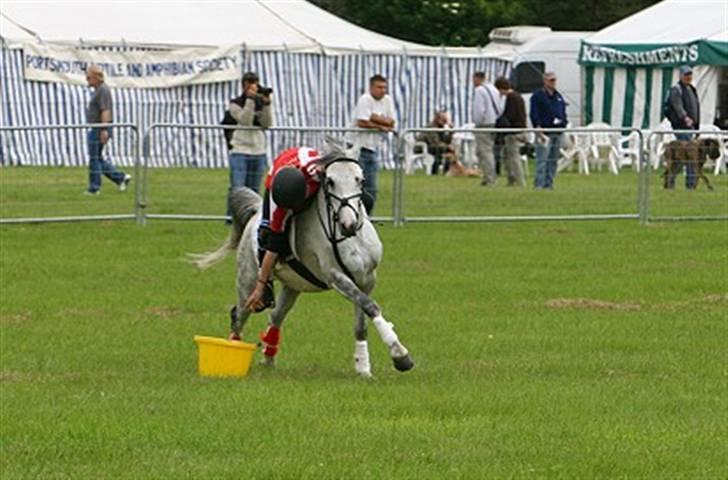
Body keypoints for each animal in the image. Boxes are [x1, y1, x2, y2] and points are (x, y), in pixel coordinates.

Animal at [191, 142, 414, 378]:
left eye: (360, 180)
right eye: (330, 182)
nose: (349, 225)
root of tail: (254, 215)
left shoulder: (367, 279)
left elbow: (361, 321)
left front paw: (363, 368)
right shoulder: (337, 278)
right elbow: (371, 306)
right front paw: (400, 354)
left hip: (292, 286)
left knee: (275, 316)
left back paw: (268, 359)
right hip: (247, 283)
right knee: (239, 318)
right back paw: (231, 355)